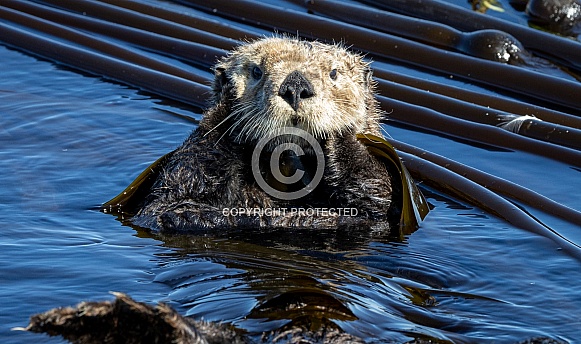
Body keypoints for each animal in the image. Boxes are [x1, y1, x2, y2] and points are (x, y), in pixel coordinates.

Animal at [104, 37, 424, 234]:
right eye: (256, 71)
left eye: (334, 73)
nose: (295, 86)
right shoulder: (173, 191)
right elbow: (169, 204)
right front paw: (227, 101)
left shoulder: (388, 209)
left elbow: (378, 198)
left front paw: (338, 131)